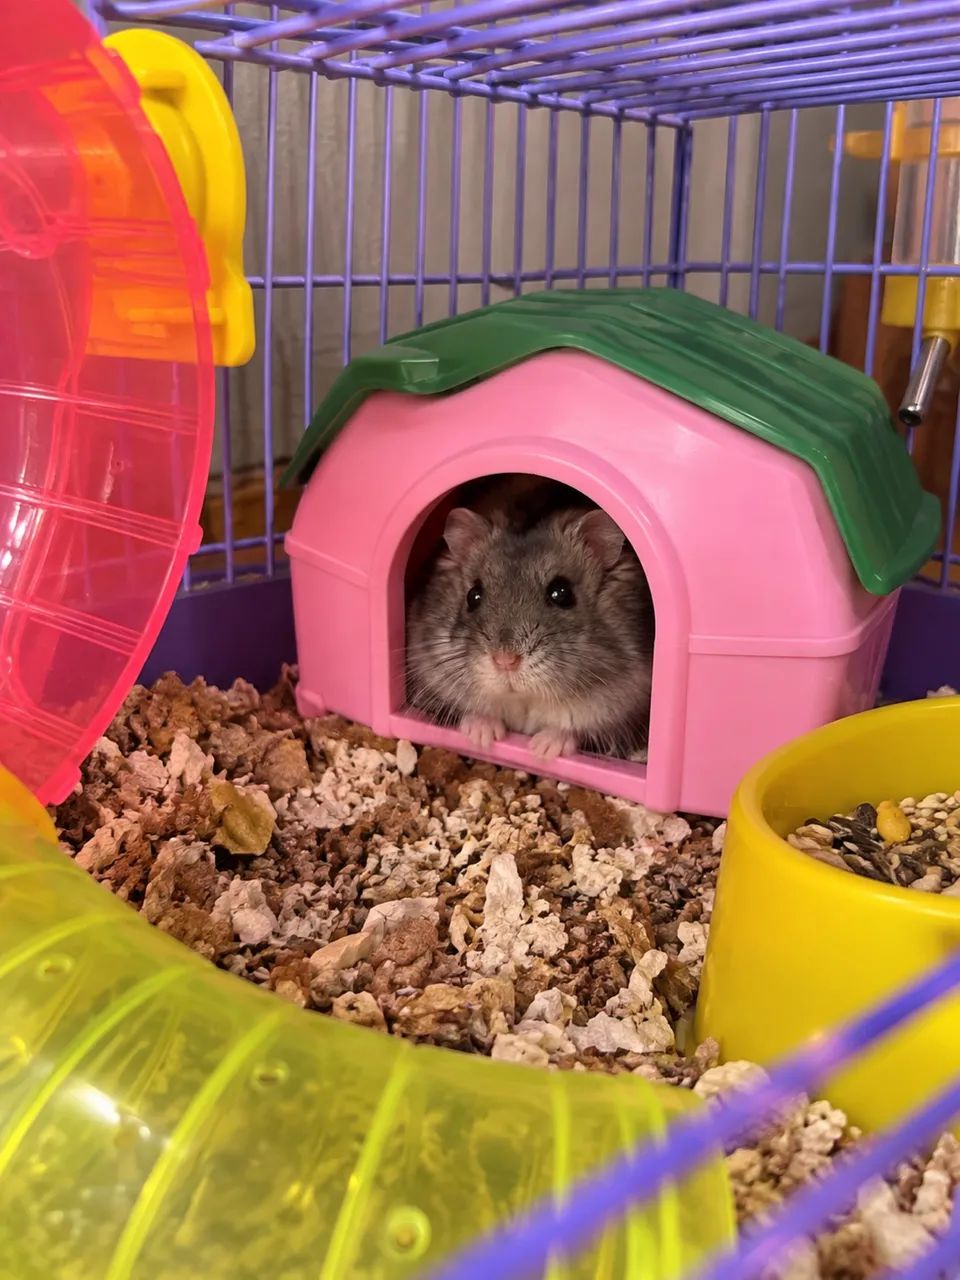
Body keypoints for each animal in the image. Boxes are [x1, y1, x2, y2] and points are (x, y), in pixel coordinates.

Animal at [405, 477, 654, 761]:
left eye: (562, 593)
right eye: (473, 596)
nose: (505, 661)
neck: (524, 698)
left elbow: (574, 731)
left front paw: (543, 749)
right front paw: (483, 736)